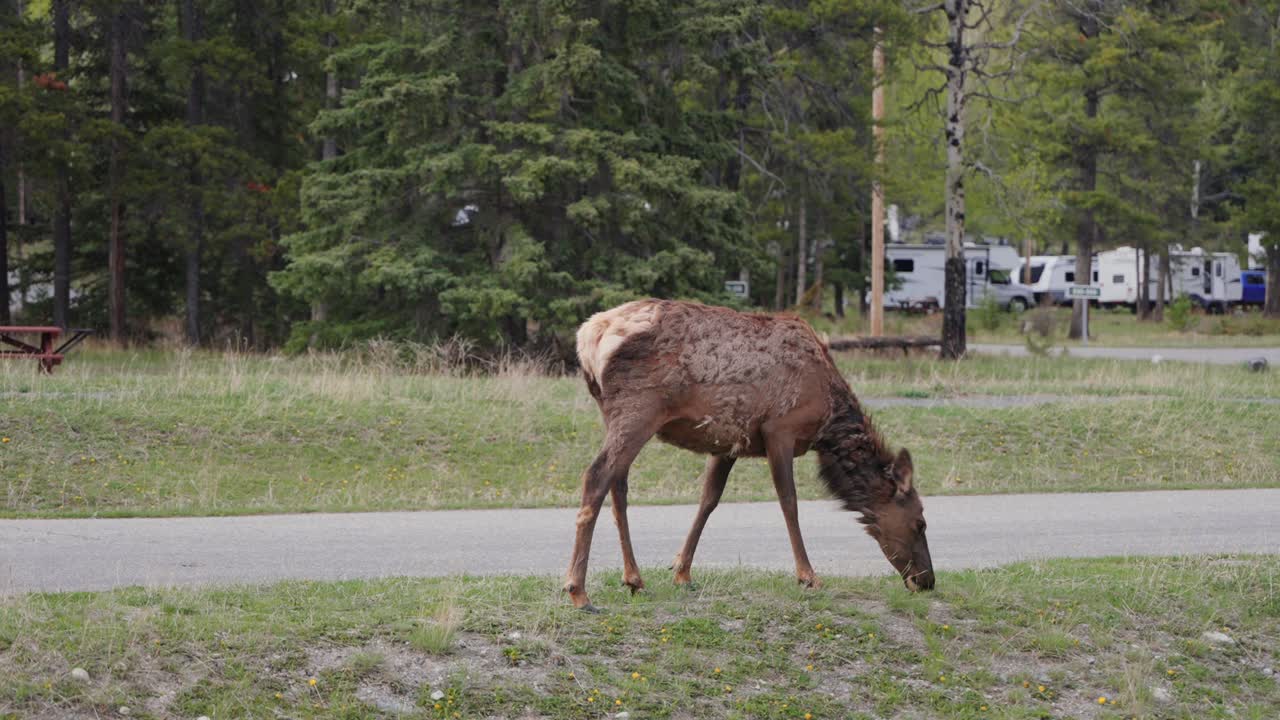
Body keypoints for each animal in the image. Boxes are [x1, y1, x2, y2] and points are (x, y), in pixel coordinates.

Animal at [564, 299, 934, 610]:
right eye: (920, 522)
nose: (927, 581)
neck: (827, 417)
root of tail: (589, 336)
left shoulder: (729, 442)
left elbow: (709, 500)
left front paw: (682, 571)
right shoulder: (780, 428)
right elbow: (789, 501)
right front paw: (808, 576)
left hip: (615, 415)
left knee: (618, 485)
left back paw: (634, 579)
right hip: (640, 408)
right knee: (596, 476)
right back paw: (579, 591)